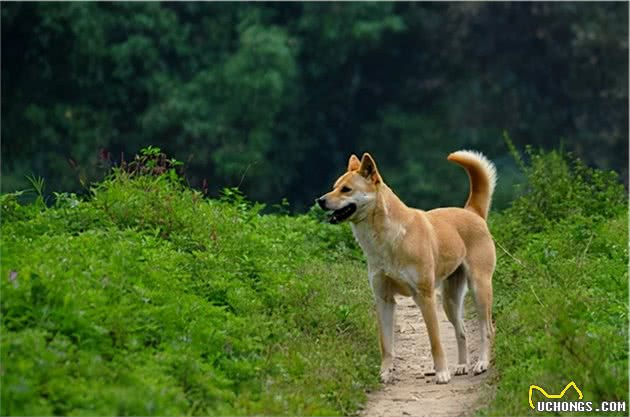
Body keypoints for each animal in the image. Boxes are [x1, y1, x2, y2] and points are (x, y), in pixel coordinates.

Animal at [320, 150, 498, 384]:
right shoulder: (383, 299)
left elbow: (435, 341)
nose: (320, 200)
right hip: (450, 300)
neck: (388, 238)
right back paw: (461, 366)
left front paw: (441, 373)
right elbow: (386, 345)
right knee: (461, 332)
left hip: (479, 289)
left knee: (487, 329)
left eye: (346, 189)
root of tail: (472, 211)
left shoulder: (425, 297)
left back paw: (482, 363)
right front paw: (385, 373)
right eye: (334, 186)